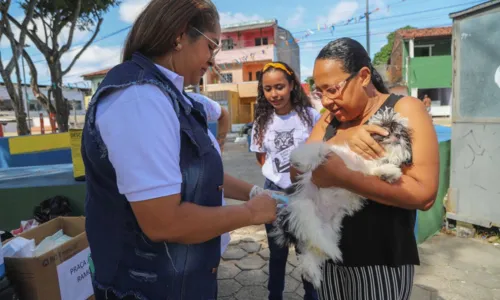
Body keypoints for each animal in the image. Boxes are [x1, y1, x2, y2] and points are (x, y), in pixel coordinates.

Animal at [272, 106, 412, 288]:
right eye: (386, 127)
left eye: (403, 133)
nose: (398, 134)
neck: (365, 159)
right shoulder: (335, 154)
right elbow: (320, 150)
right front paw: (303, 159)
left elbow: (374, 172)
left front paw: (388, 173)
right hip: (303, 208)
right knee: (311, 234)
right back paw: (327, 255)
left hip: (328, 228)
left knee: (313, 246)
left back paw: (317, 266)